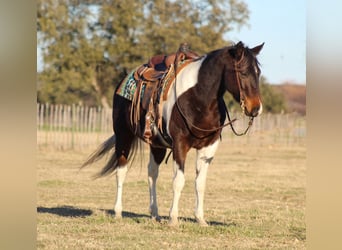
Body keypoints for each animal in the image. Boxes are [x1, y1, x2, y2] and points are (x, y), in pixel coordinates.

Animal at [82, 41, 264, 227]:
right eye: (243, 72)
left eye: (258, 73)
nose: (256, 109)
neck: (199, 97)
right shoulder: (180, 145)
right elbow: (178, 181)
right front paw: (173, 219)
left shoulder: (209, 146)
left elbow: (200, 183)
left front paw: (200, 219)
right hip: (123, 135)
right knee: (121, 171)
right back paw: (118, 212)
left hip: (156, 144)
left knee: (152, 173)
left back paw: (155, 213)